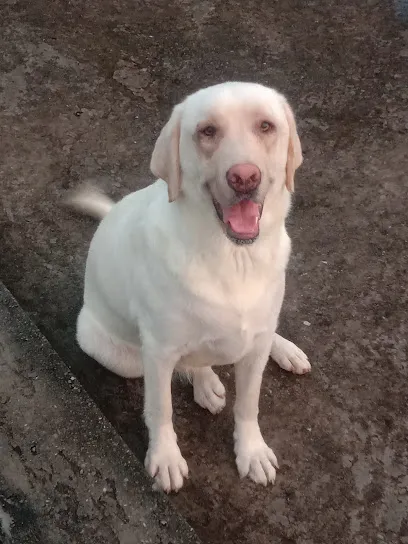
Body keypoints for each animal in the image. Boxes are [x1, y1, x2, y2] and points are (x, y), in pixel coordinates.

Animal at [68, 81, 310, 492]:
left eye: (266, 126)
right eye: (207, 131)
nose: (244, 177)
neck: (233, 257)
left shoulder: (254, 347)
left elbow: (248, 404)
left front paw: (252, 451)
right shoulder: (159, 350)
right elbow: (160, 408)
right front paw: (165, 457)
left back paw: (282, 350)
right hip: (118, 353)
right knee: (188, 363)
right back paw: (206, 382)